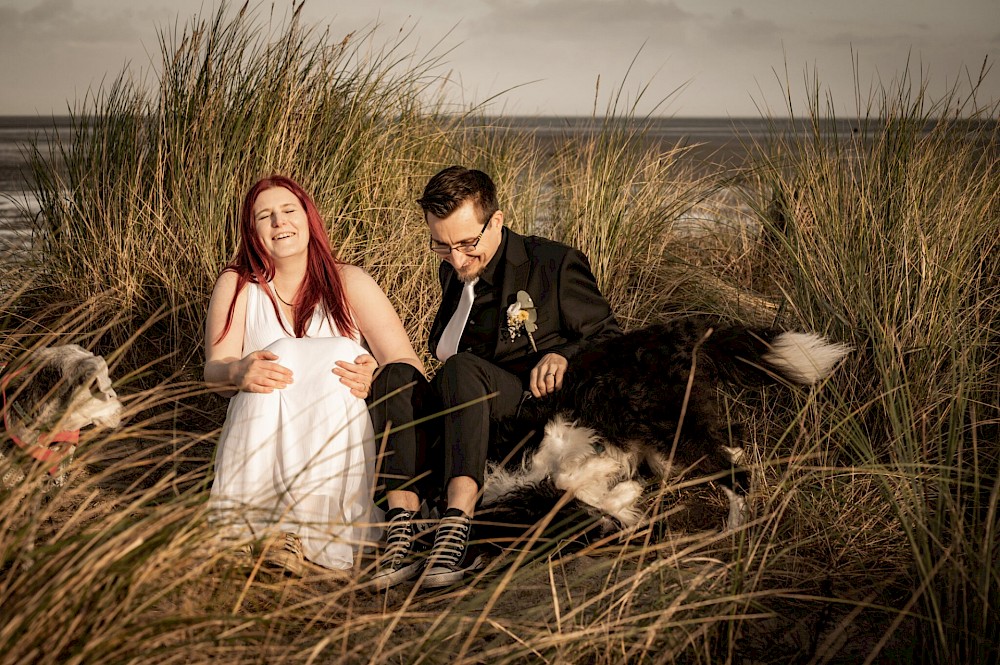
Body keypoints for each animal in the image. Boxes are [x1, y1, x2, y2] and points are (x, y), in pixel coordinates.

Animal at [480, 316, 848, 540]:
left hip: (671, 427)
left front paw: (607, 474)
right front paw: (625, 489)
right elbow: (591, 489)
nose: (607, 532)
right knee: (734, 441)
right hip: (684, 428)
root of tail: (674, 334)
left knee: (737, 477)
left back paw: (732, 532)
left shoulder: (552, 428)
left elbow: (566, 472)